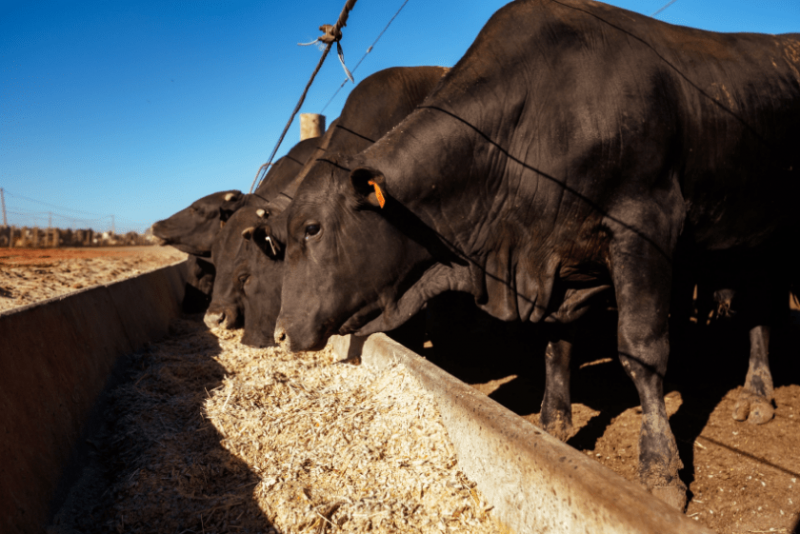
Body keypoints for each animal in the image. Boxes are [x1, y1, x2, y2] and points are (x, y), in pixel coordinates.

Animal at [272, 0, 796, 510]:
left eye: (313, 228)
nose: (279, 332)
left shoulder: (645, 226)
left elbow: (641, 351)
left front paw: (661, 470)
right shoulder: (554, 262)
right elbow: (555, 345)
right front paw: (554, 423)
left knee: (761, 311)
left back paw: (757, 393)